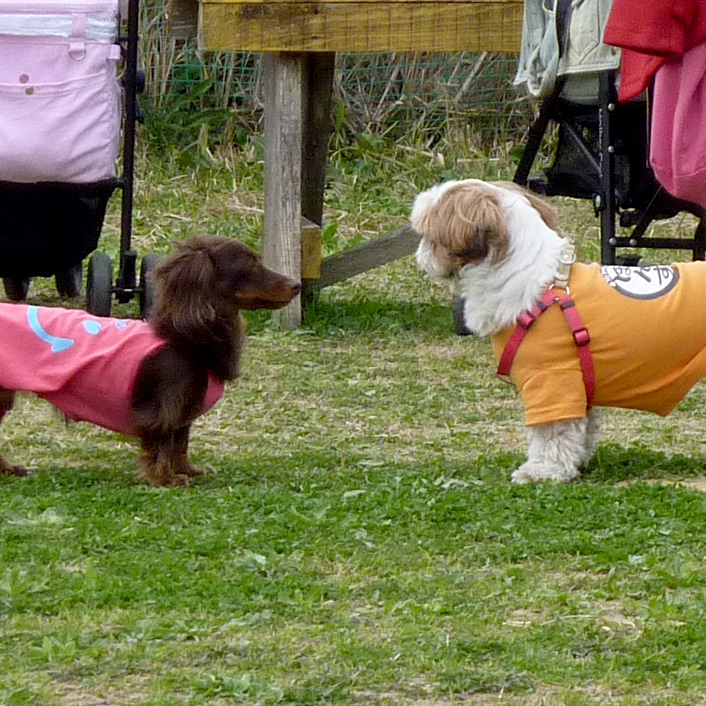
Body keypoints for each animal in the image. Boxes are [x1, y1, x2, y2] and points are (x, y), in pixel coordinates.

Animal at [0, 235, 301, 486]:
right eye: (250, 263)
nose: (297, 285)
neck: (183, 337)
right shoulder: (164, 407)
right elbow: (162, 443)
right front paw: (164, 479)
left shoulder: (183, 408)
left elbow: (180, 442)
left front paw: (188, 470)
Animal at [413, 179, 706, 483]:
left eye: (428, 234)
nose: (419, 255)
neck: (539, 288)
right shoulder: (579, 386)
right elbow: (582, 429)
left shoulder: (551, 380)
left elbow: (551, 435)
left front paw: (541, 470)